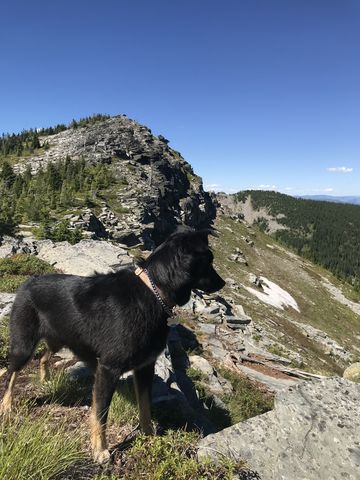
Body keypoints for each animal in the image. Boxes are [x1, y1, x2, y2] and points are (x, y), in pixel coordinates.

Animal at [0, 227, 225, 464]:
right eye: (208, 260)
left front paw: (149, 435)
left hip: (58, 339)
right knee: (11, 373)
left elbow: (145, 406)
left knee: (44, 356)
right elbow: (101, 414)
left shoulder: (145, 367)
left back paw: (45, 379)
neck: (154, 292)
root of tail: (27, 283)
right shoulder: (109, 369)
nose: (222, 283)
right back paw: (7, 405)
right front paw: (100, 450)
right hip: (24, 345)